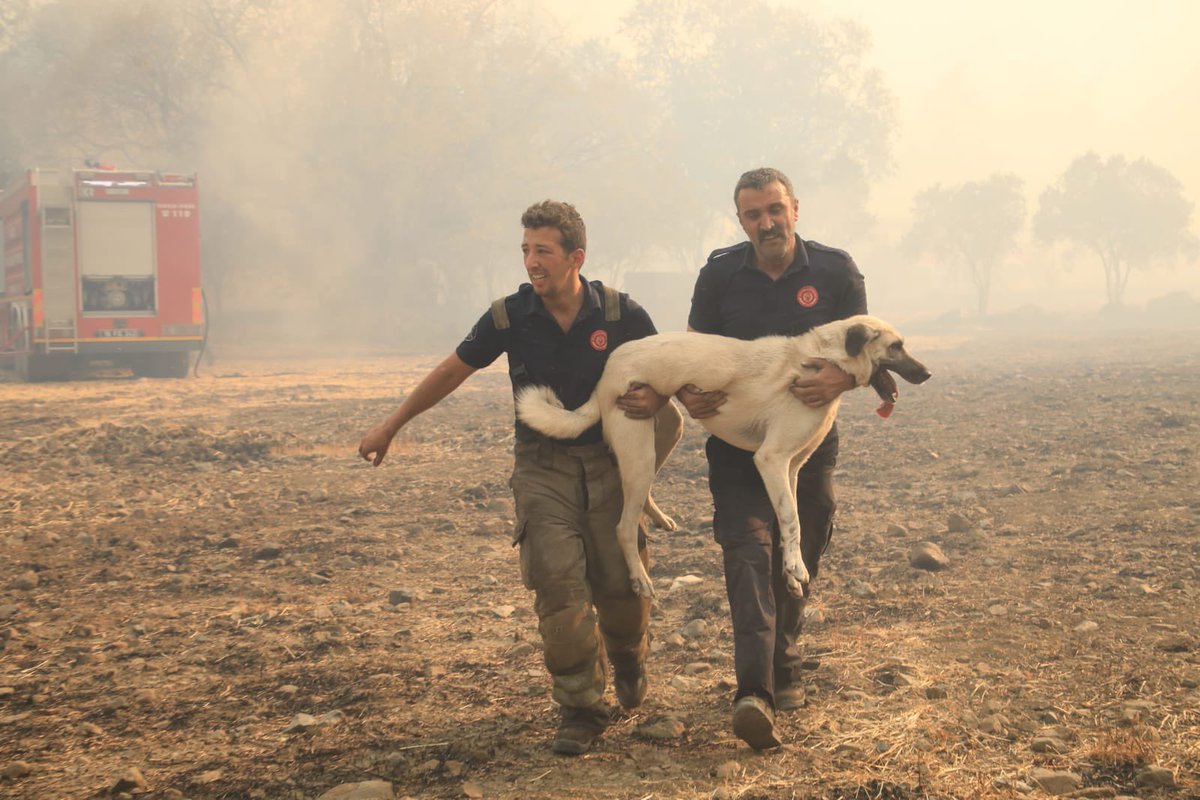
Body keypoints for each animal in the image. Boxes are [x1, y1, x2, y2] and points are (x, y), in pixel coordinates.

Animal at [513, 316, 926, 597]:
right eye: (896, 346)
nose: (927, 373)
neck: (823, 357)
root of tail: (607, 372)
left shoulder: (791, 468)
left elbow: (789, 520)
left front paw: (790, 571)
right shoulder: (771, 460)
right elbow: (791, 518)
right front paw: (796, 568)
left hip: (664, 432)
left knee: (640, 493)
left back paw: (658, 518)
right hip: (639, 450)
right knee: (623, 527)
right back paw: (640, 580)